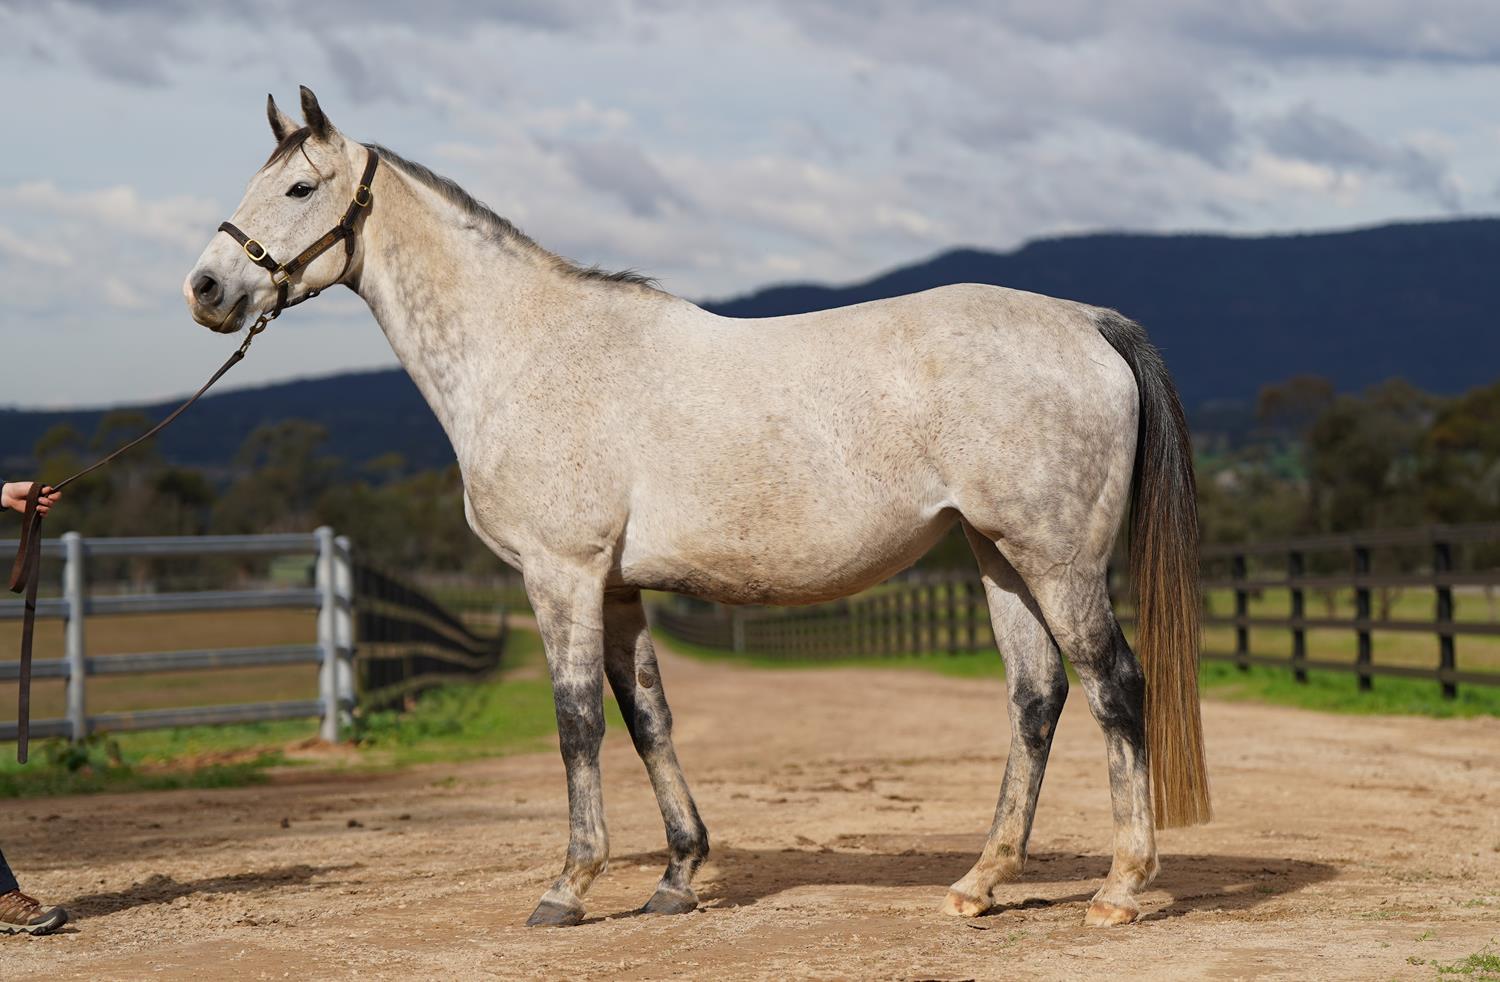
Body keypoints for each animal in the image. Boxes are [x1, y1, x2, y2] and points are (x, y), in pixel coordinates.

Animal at [184, 87, 1210, 929]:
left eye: (300, 188)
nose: (207, 288)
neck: (526, 350)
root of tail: (1086, 323)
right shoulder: (617, 589)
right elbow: (648, 719)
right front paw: (677, 877)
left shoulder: (562, 575)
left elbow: (577, 723)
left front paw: (568, 887)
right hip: (1002, 558)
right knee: (1036, 700)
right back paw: (980, 883)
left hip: (1058, 561)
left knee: (1117, 687)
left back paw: (1121, 888)